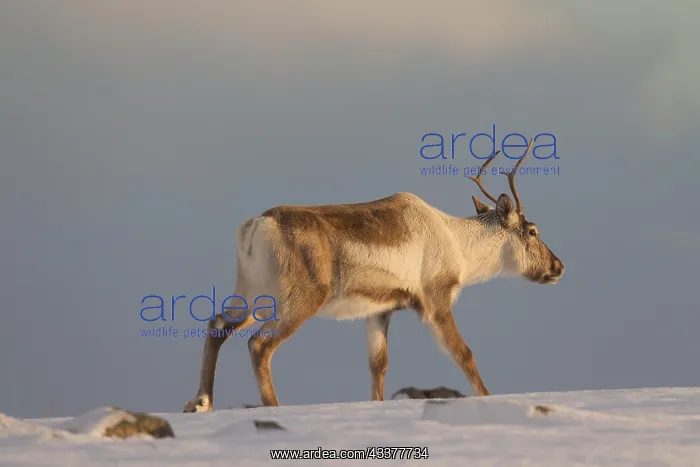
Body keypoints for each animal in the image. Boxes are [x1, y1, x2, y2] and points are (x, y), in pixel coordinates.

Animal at [182, 138, 564, 412]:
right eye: (532, 231)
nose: (558, 266)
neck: (457, 242)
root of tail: (255, 226)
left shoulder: (380, 310)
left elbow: (378, 365)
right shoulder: (433, 299)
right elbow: (464, 353)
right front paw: (487, 397)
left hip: (250, 294)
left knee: (216, 324)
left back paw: (201, 403)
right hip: (296, 299)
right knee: (259, 344)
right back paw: (272, 407)